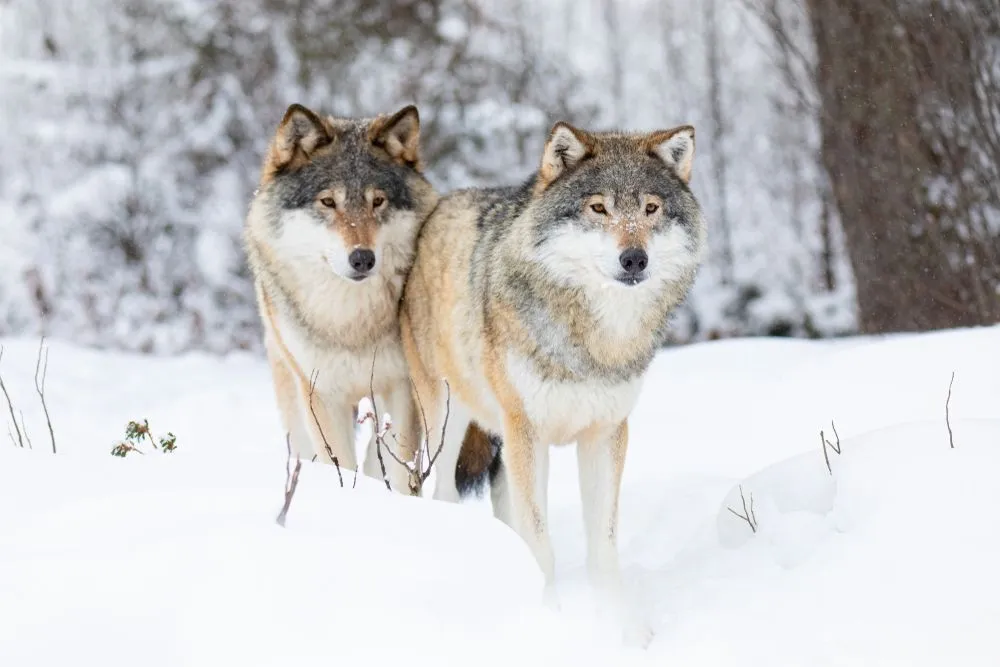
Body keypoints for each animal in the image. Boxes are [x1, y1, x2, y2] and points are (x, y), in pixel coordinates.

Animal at [244, 103, 439, 492]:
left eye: (378, 201)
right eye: (328, 202)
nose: (363, 258)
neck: (351, 324)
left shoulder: (403, 387)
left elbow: (399, 467)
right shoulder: (322, 395)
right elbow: (341, 466)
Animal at [400, 121, 706, 643]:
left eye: (650, 209)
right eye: (599, 208)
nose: (635, 259)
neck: (592, 342)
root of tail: (442, 205)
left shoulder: (606, 434)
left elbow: (602, 544)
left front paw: (625, 629)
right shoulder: (529, 433)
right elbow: (541, 541)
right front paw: (550, 621)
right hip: (449, 420)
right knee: (444, 493)